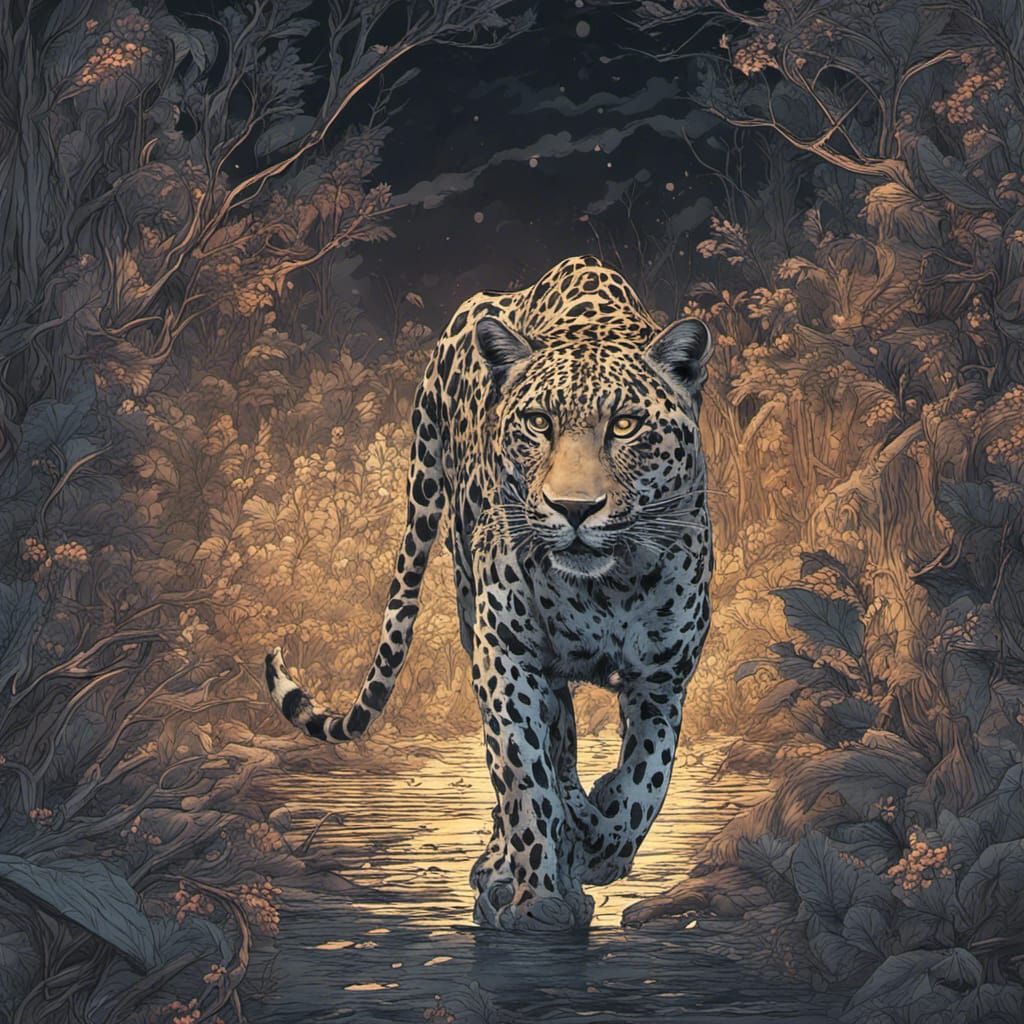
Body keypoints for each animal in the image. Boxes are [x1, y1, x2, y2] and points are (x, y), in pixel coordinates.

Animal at [265, 255, 713, 933]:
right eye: (539, 422)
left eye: (625, 425)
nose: (574, 509)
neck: (606, 588)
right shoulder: (507, 657)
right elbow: (525, 780)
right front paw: (538, 895)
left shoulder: (663, 679)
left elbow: (646, 784)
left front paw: (601, 844)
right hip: (463, 585)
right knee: (543, 753)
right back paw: (515, 864)